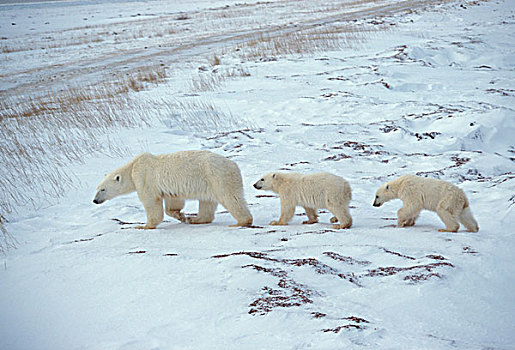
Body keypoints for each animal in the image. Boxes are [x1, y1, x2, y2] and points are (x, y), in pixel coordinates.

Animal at [93, 151, 255, 230]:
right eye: (97, 188)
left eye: (103, 189)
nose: (95, 200)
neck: (132, 167)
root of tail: (234, 165)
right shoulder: (169, 188)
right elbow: (173, 200)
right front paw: (181, 216)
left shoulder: (144, 177)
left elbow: (151, 201)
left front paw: (144, 226)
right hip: (209, 182)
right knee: (206, 202)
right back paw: (196, 219)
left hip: (217, 176)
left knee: (230, 197)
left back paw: (241, 222)